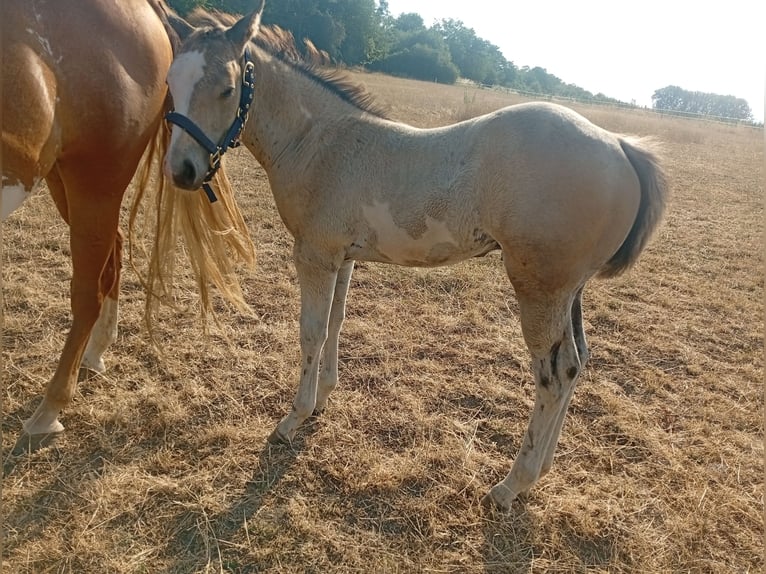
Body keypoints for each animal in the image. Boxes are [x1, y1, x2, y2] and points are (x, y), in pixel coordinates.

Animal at [2, 0, 255, 456]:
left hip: (92, 182)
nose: (183, 170)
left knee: (88, 291)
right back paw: (96, 350)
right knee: (113, 252)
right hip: (61, 178)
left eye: (228, 90)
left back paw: (50, 408)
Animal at [163, 5, 668, 511]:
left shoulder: (314, 255)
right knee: (578, 361)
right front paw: (324, 399)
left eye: (227, 87)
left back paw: (512, 484)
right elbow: (336, 323)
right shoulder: (343, 257)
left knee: (555, 375)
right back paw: (540, 471)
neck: (318, 142)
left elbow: (311, 332)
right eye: (170, 80)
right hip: (571, 291)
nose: (182, 171)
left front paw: (293, 419)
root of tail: (620, 144)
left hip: (541, 289)